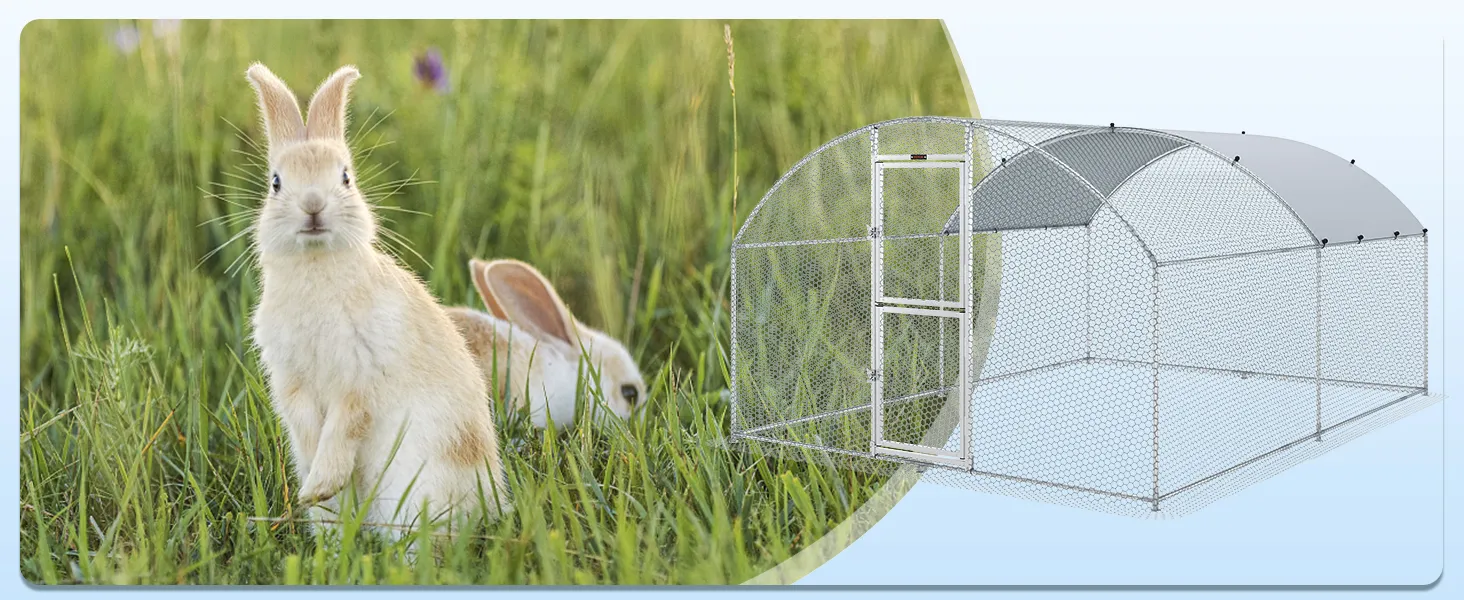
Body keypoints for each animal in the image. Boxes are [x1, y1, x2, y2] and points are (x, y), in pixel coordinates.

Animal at [244, 63, 509, 535]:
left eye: (346, 177)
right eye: (275, 182)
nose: (313, 205)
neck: (317, 266)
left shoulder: (360, 372)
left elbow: (345, 424)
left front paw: (320, 481)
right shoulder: (292, 378)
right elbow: (308, 426)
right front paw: (314, 487)